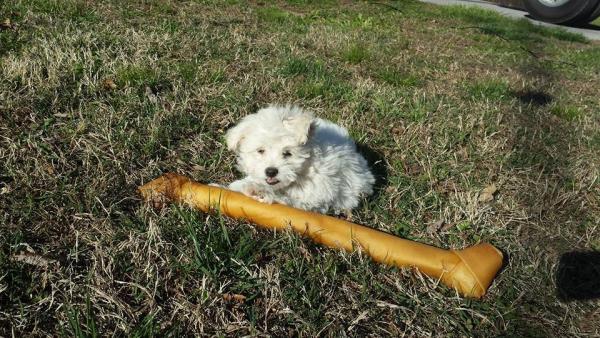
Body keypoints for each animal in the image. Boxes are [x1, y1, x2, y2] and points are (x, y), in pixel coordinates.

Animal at [225, 104, 376, 213]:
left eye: (287, 153)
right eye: (260, 151)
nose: (271, 171)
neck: (305, 168)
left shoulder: (317, 195)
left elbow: (292, 202)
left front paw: (262, 192)